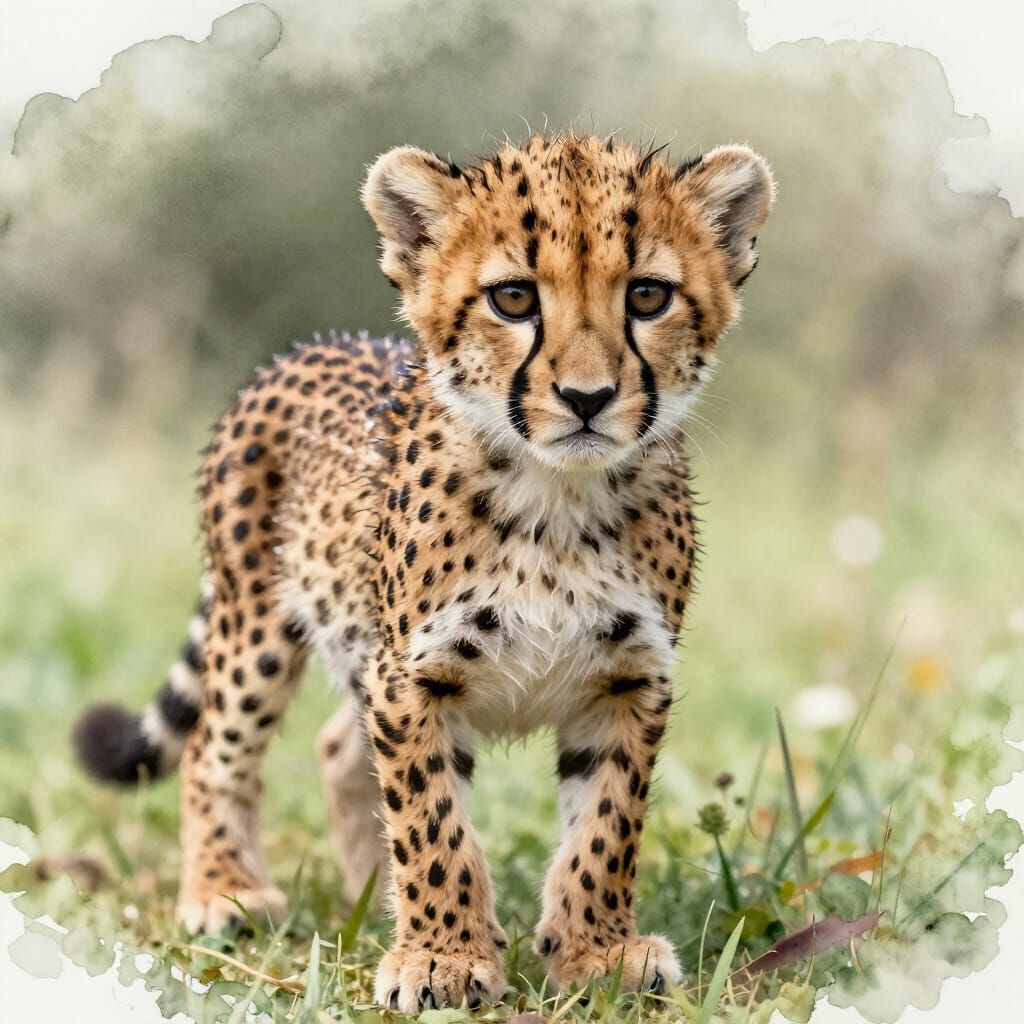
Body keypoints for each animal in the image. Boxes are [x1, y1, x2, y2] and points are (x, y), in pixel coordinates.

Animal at [73, 131, 775, 1012]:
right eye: (513, 299)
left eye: (648, 296)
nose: (587, 397)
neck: (559, 498)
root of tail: (307, 347)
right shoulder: (414, 676)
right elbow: (432, 821)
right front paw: (444, 956)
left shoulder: (629, 676)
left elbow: (606, 823)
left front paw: (596, 950)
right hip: (256, 624)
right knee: (214, 747)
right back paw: (225, 891)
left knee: (339, 750)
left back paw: (370, 897)